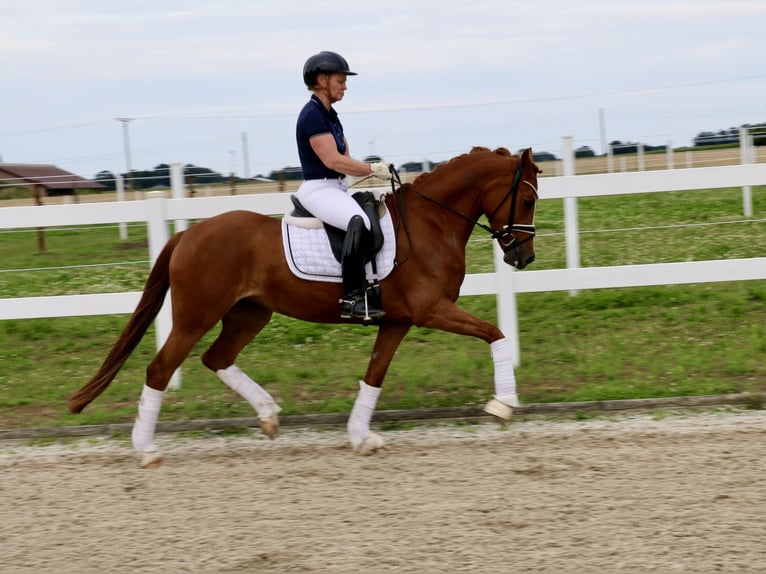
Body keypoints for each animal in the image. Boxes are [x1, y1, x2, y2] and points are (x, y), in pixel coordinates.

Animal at [70, 148, 540, 468]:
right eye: (528, 200)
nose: (523, 258)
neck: (430, 223)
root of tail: (188, 234)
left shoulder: (398, 321)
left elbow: (374, 374)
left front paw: (361, 437)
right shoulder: (430, 310)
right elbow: (494, 332)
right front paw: (504, 404)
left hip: (250, 313)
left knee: (217, 358)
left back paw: (268, 415)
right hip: (195, 316)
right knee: (161, 370)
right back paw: (147, 450)